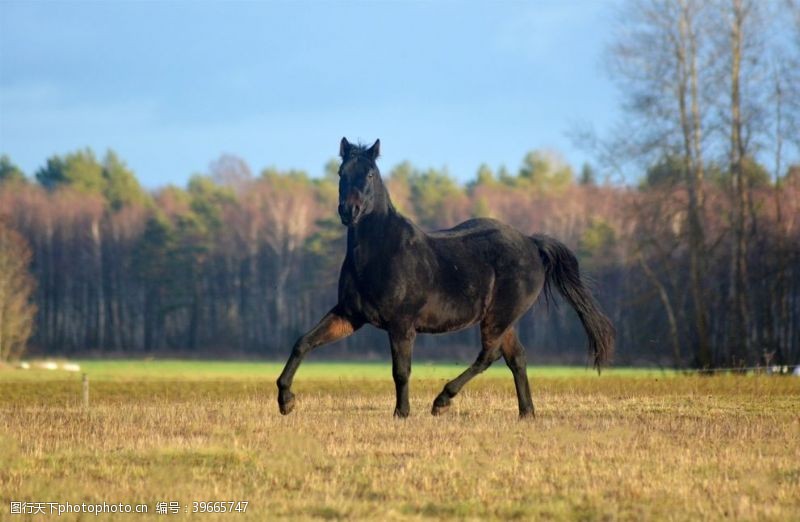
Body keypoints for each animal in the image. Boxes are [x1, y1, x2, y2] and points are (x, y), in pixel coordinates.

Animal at [276, 136, 612, 416]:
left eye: (370, 174)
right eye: (341, 172)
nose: (349, 211)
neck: (379, 253)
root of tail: (531, 243)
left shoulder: (401, 324)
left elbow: (401, 371)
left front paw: (402, 413)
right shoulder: (349, 315)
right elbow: (303, 343)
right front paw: (285, 400)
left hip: (498, 317)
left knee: (488, 356)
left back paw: (442, 400)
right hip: (503, 319)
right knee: (516, 358)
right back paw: (526, 413)